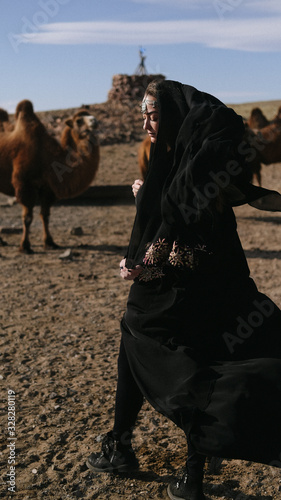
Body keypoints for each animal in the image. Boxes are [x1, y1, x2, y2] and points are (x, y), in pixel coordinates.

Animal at [0, 98, 99, 254]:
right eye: (78, 121)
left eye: (91, 115)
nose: (94, 121)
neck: (47, 157)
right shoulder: (25, 185)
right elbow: (28, 218)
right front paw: (25, 246)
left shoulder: (47, 188)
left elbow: (45, 215)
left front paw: (50, 242)